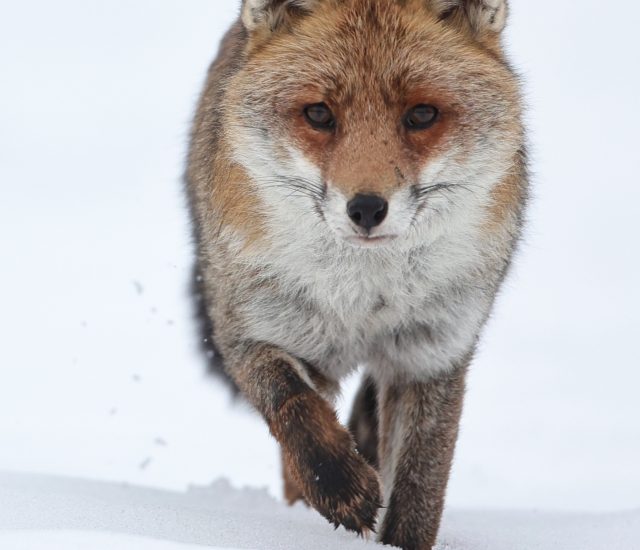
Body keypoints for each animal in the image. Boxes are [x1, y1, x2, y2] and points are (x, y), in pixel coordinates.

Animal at [185, 1, 524, 548]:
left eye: (421, 114)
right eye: (319, 114)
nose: (366, 209)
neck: (363, 298)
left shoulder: (432, 354)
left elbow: (419, 489)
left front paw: (397, 535)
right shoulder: (251, 333)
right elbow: (295, 409)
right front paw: (340, 487)